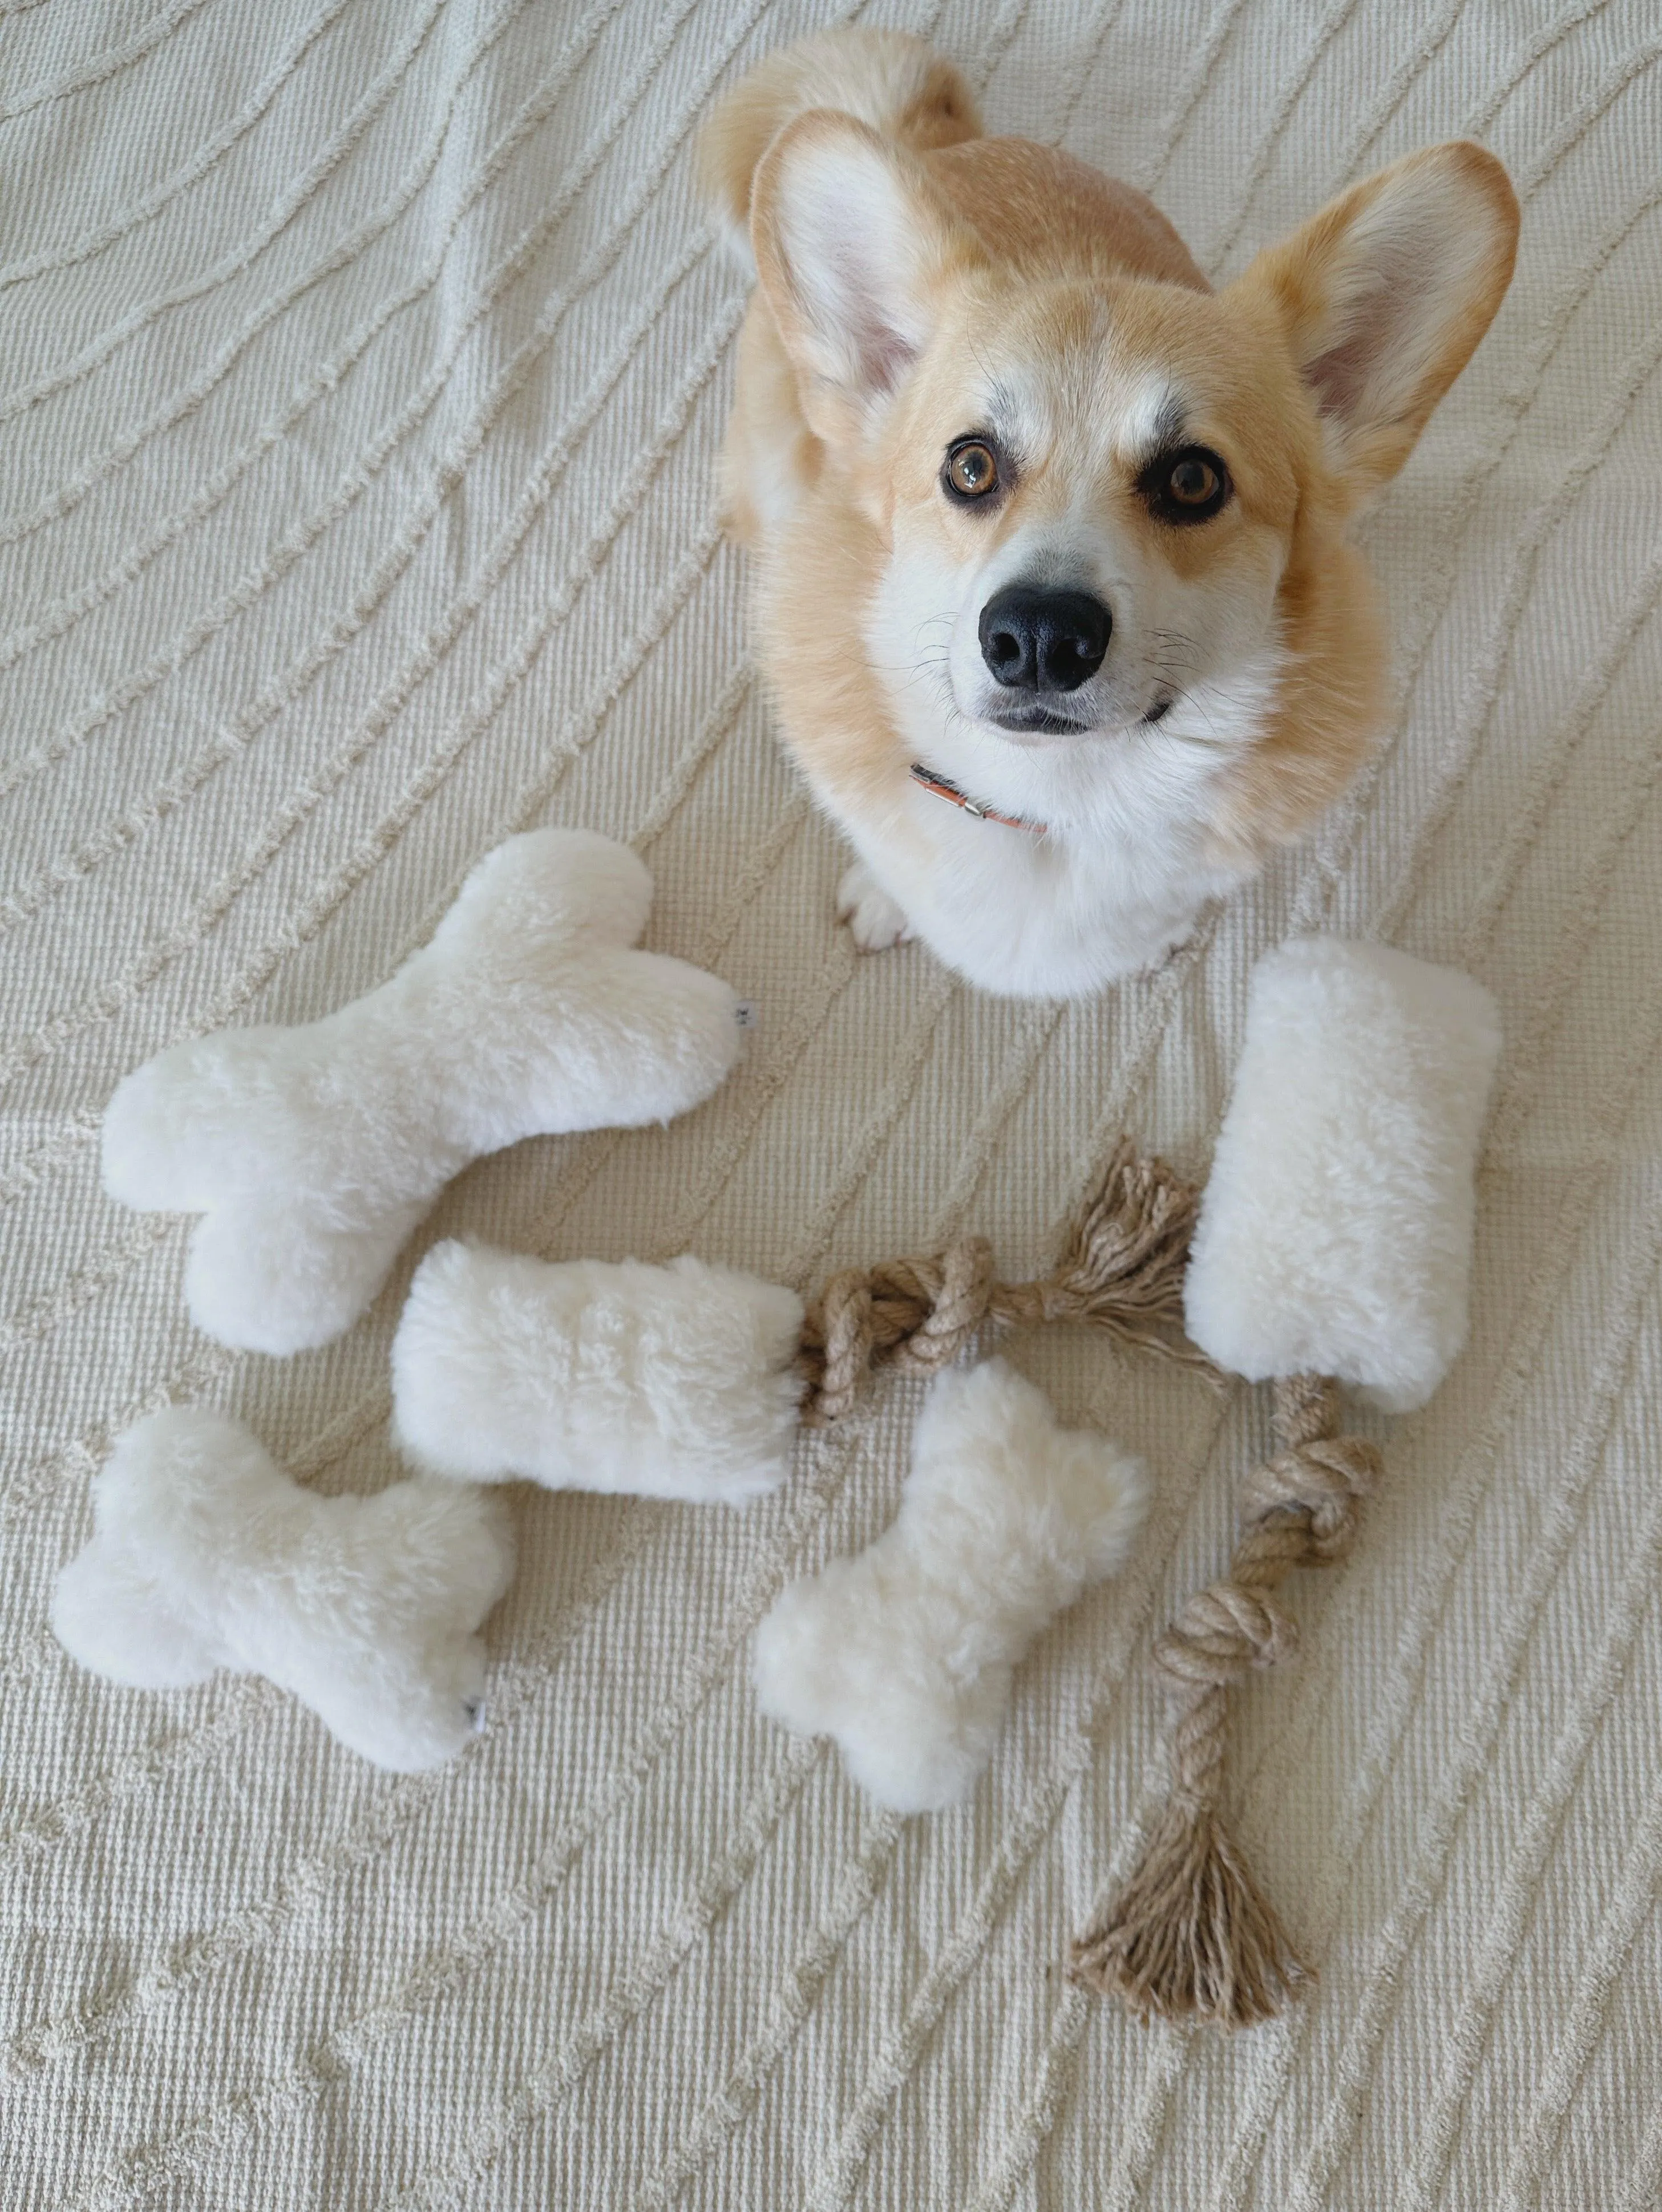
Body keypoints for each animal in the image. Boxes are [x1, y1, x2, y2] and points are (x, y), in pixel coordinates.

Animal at [694, 23, 1514, 995]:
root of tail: (939, 141)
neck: (1059, 803)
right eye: (970, 466)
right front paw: (883, 894)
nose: (1041, 635)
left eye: (1194, 480)